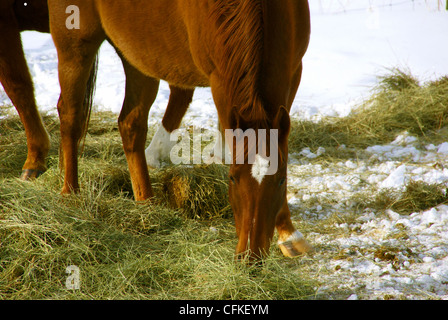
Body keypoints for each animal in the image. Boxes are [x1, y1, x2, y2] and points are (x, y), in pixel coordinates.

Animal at [49, 0, 314, 260]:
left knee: (130, 125)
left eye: (282, 180)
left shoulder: (292, 72)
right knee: (71, 116)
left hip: (137, 56)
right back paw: (70, 193)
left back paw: (146, 202)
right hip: (75, 46)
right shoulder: (220, 82)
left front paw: (288, 233)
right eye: (232, 178)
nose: (250, 255)